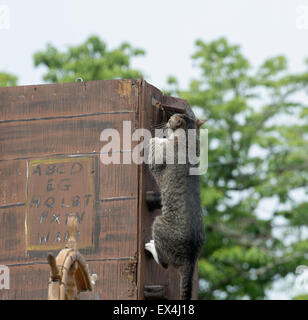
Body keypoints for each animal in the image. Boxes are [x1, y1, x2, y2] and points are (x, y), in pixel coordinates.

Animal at [146, 112, 206, 300]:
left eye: (171, 118)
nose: (166, 121)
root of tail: (191, 258)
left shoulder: (158, 162)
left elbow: (154, 145)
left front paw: (157, 137)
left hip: (158, 223)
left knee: (164, 263)